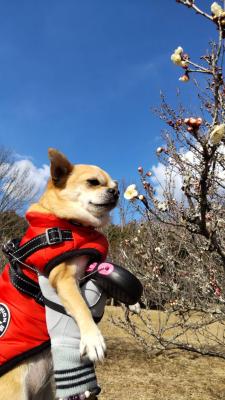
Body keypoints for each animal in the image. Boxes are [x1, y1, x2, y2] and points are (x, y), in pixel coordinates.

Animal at [0, 148, 119, 398]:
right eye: (93, 182)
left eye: (116, 186)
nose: (116, 191)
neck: (72, 224)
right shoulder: (63, 279)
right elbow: (82, 307)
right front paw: (92, 338)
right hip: (15, 389)